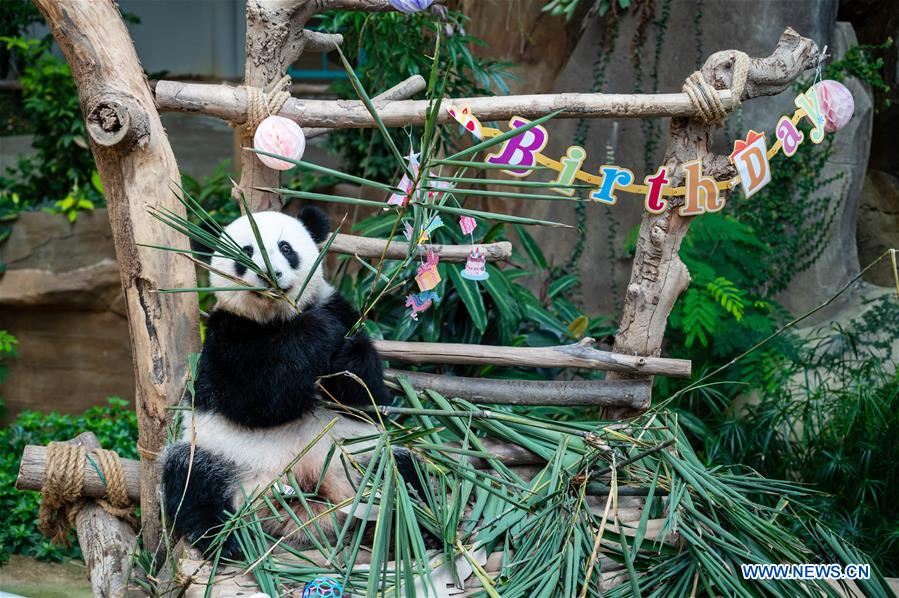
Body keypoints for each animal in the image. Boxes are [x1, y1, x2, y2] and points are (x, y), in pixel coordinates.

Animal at [162, 209, 414, 560]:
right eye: (245, 252)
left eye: (285, 247)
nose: (269, 274)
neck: (277, 316)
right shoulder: (224, 336)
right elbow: (257, 396)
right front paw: (317, 330)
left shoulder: (335, 305)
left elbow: (368, 396)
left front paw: (348, 358)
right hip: (222, 457)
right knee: (189, 479)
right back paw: (226, 539)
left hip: (361, 457)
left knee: (402, 475)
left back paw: (398, 529)